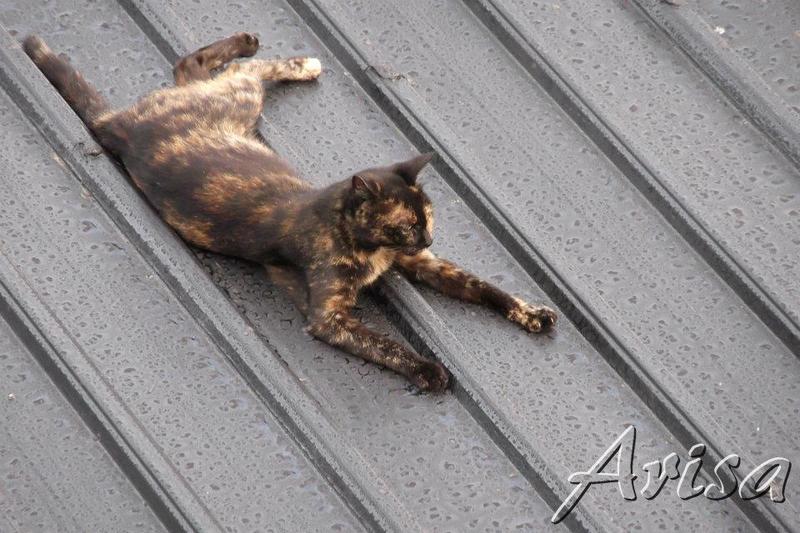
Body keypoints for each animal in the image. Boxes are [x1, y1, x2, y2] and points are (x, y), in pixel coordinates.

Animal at [23, 32, 557, 392]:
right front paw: (429, 370)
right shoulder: (331, 317)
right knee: (208, 66)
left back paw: (279, 54)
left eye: (428, 218)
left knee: (191, 67)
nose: (427, 239)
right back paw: (289, 57)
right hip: (238, 101)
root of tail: (122, 128)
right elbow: (385, 345)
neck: (372, 250)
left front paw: (530, 313)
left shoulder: (422, 265)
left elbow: (482, 287)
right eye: (407, 224)